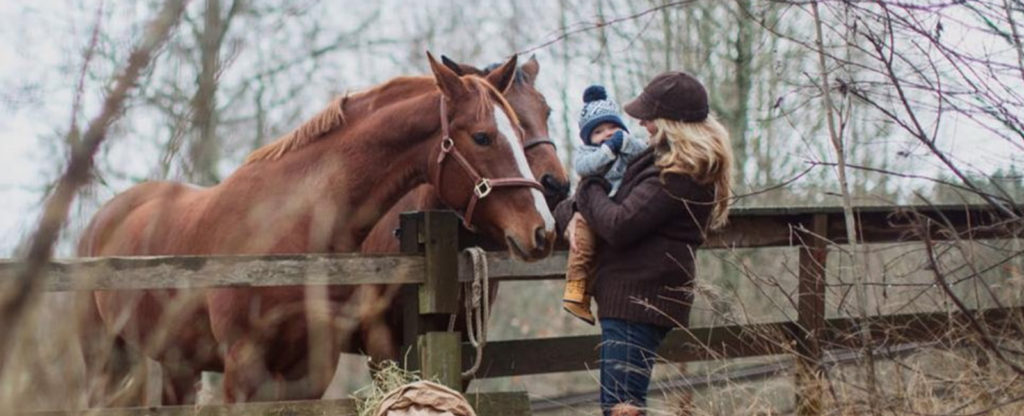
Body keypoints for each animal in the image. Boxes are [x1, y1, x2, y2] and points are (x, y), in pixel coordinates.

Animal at [75, 52, 557, 403]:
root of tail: (104, 217)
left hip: (180, 364)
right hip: (107, 362)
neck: (289, 229)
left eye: (524, 126)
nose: (543, 228)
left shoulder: (312, 370)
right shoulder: (244, 368)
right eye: (482, 137)